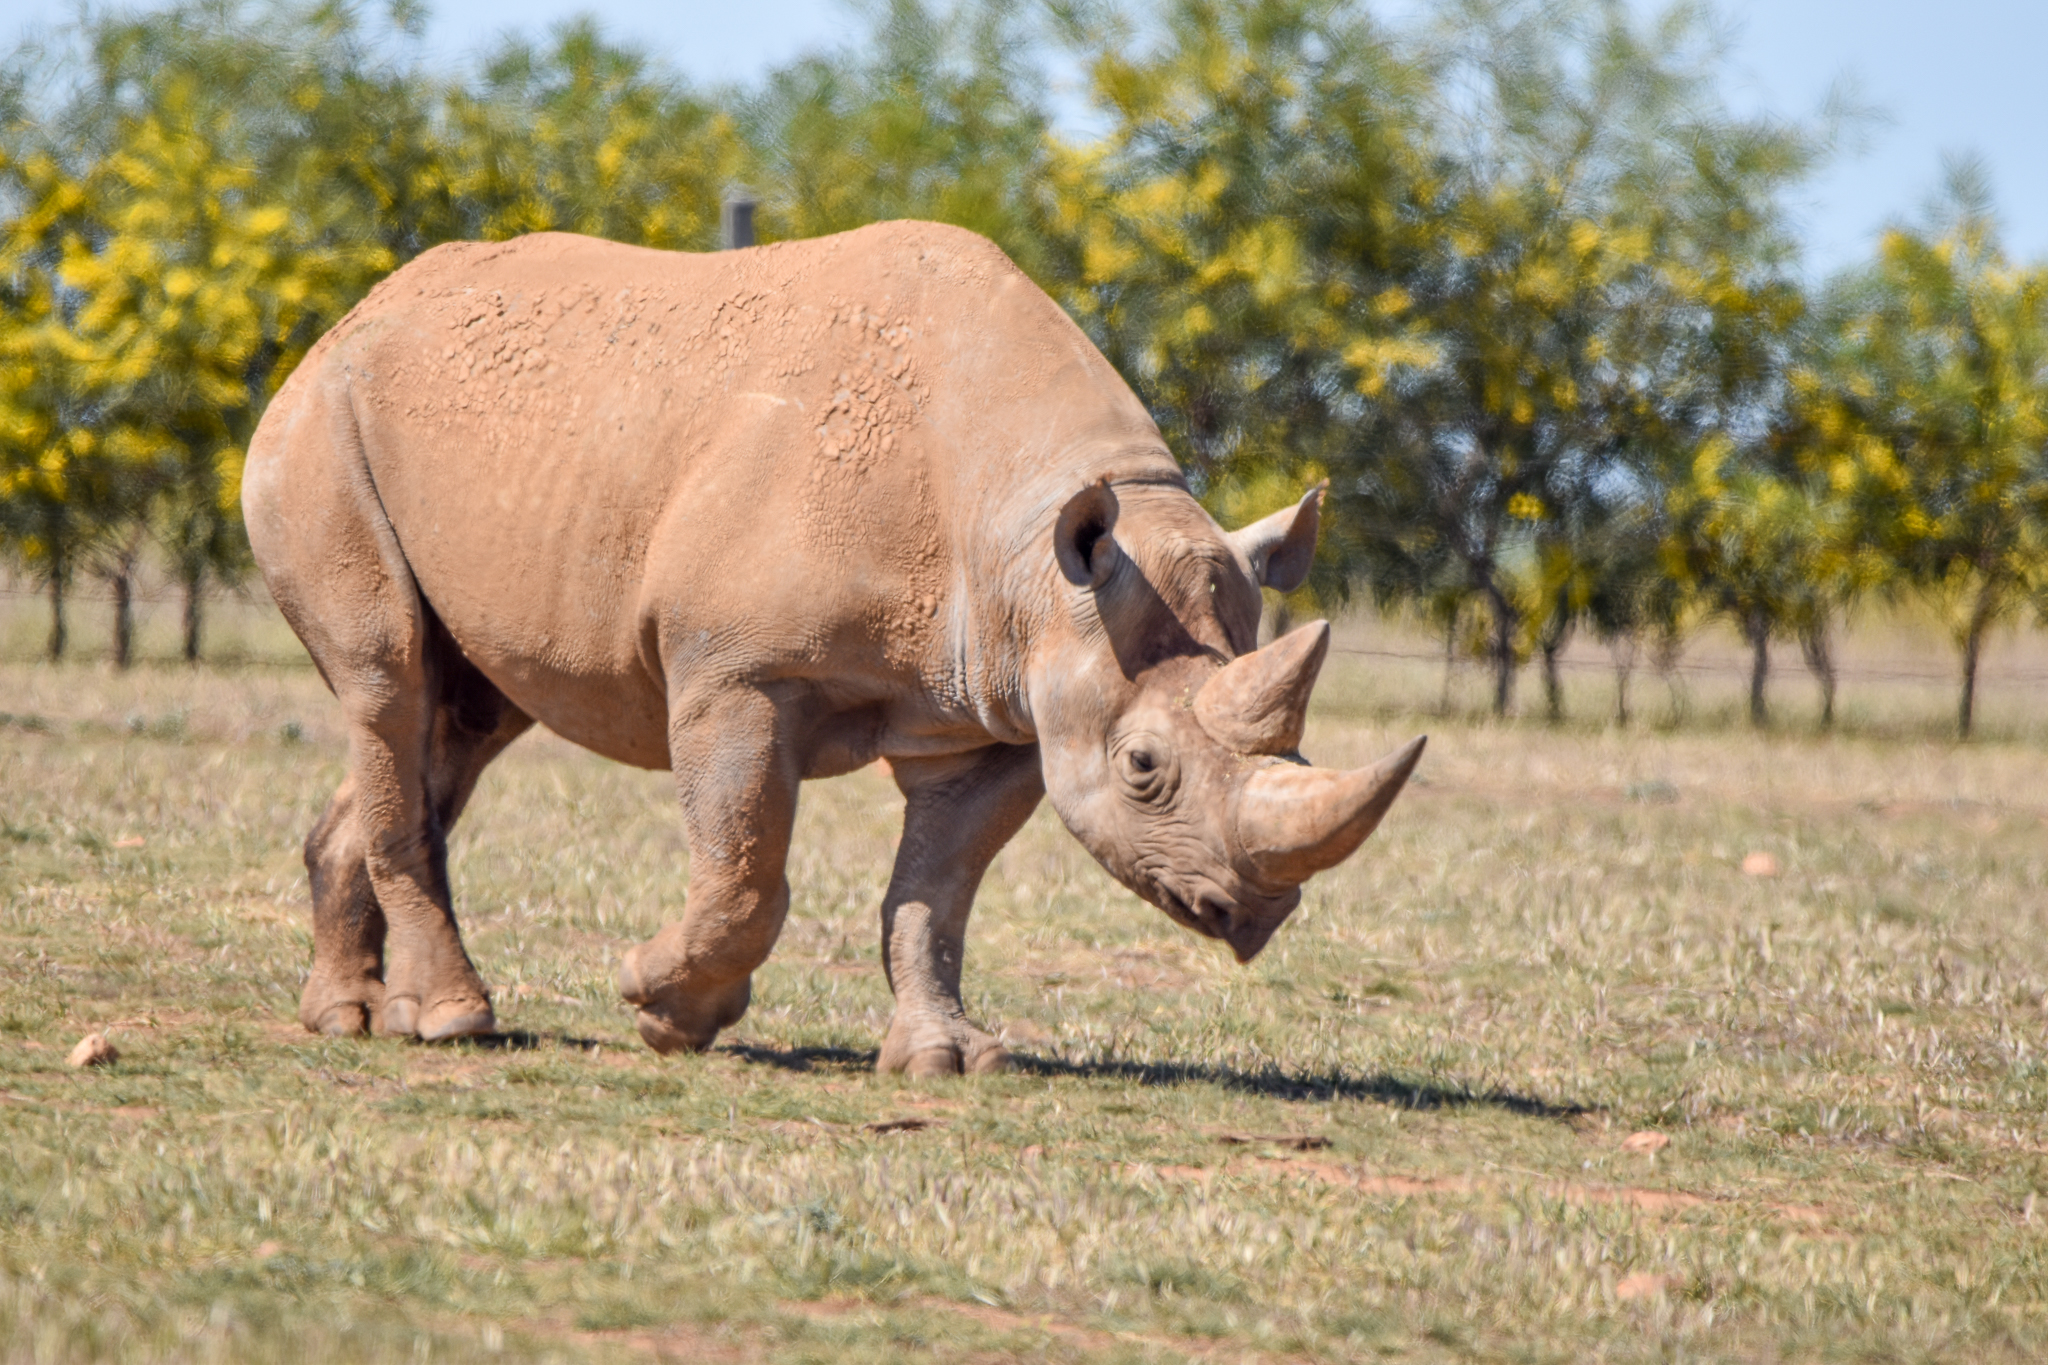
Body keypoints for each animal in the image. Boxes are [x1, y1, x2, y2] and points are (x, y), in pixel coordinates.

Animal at [242, 220, 1424, 1074]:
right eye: (1143, 769)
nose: (1256, 916)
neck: (1036, 554)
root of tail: (350, 315)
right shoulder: (737, 671)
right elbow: (745, 869)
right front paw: (665, 1010)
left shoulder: (998, 713)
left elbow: (934, 894)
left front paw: (945, 1059)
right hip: (321, 426)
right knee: (389, 678)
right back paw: (450, 1024)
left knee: (465, 713)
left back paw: (349, 1016)